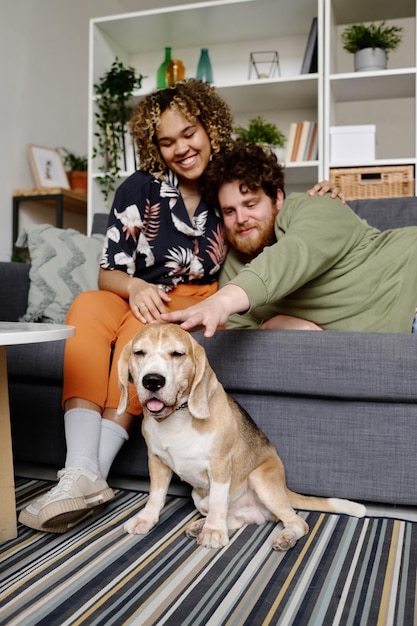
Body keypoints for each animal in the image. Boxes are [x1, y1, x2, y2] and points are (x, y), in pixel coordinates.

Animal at [117, 324, 364, 548]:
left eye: (178, 354)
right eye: (139, 353)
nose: (152, 380)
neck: (178, 415)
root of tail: (284, 488)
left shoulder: (219, 464)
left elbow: (218, 500)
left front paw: (213, 532)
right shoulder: (156, 461)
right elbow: (155, 496)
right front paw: (146, 519)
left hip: (260, 479)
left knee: (297, 522)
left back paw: (284, 537)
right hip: (199, 497)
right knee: (235, 519)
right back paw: (202, 525)